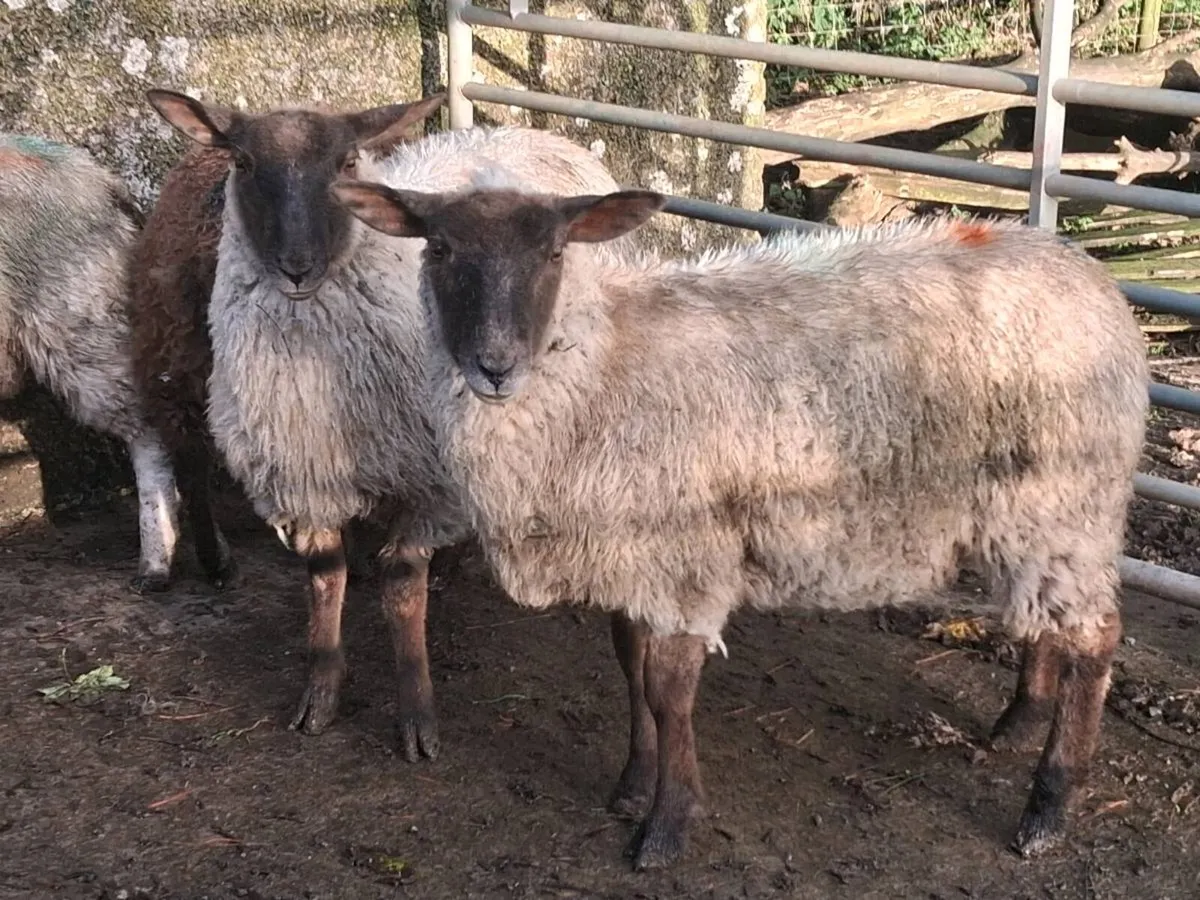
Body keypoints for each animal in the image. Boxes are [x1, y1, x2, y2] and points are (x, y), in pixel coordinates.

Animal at [145, 89, 629, 761]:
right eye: (242, 162)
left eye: (349, 161)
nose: (298, 268)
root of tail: (535, 131)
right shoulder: (307, 476)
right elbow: (325, 579)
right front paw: (320, 696)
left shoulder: (431, 484)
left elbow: (401, 590)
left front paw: (418, 718)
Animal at [330, 182, 1150, 869]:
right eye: (439, 249)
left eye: (554, 252)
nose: (494, 365)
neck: (597, 367)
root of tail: (1087, 273)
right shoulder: (632, 557)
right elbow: (629, 669)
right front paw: (633, 783)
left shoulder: (684, 558)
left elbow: (668, 693)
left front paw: (666, 825)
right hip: (1027, 511)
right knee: (1045, 618)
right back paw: (1018, 721)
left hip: (1066, 495)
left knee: (1095, 637)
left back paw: (1048, 807)